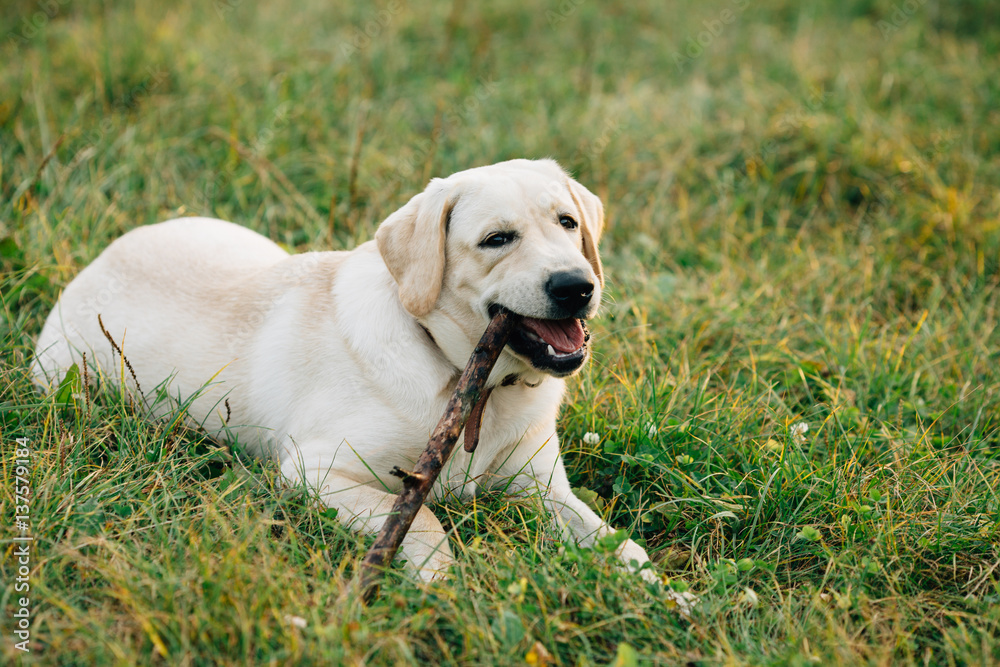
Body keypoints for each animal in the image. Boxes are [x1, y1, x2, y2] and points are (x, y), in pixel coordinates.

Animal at [33, 160, 672, 588]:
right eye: (497, 239)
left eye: (567, 223)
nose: (576, 286)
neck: (470, 385)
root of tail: (100, 257)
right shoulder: (315, 469)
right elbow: (425, 521)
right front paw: (441, 587)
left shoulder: (544, 489)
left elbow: (621, 546)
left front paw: (672, 600)